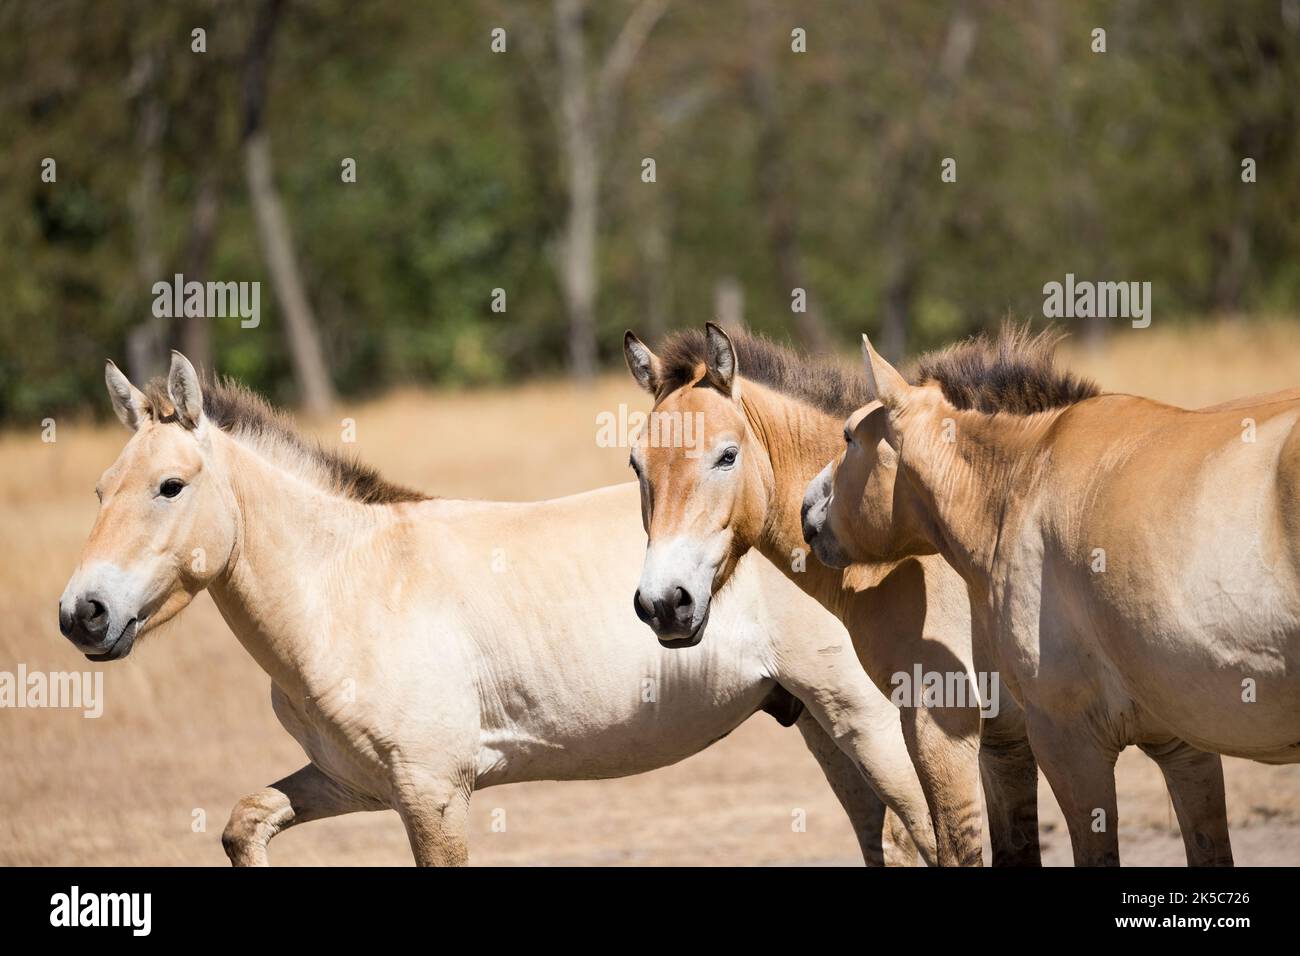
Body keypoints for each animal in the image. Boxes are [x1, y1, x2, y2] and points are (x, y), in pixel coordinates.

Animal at [61, 351, 935, 868]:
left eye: (170, 486)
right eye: (99, 489)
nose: (83, 614)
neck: (351, 589)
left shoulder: (433, 792)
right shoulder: (355, 783)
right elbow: (244, 823)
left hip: (869, 720)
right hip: (821, 723)